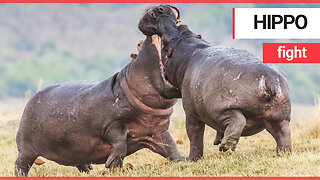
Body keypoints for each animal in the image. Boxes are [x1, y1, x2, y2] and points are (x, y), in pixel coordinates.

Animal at [15, 34, 185, 176]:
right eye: (139, 44)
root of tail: (30, 100)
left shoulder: (157, 131)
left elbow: (171, 147)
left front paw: (184, 160)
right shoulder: (112, 124)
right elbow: (120, 143)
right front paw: (113, 165)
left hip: (75, 149)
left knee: (79, 162)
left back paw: (88, 170)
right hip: (27, 148)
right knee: (20, 162)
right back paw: (21, 175)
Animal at [138, 5, 292, 160]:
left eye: (165, 45)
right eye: (184, 27)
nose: (160, 9)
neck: (185, 45)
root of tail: (270, 79)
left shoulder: (191, 112)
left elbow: (194, 135)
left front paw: (192, 159)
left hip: (220, 109)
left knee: (238, 120)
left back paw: (226, 146)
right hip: (279, 118)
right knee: (283, 133)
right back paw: (282, 153)